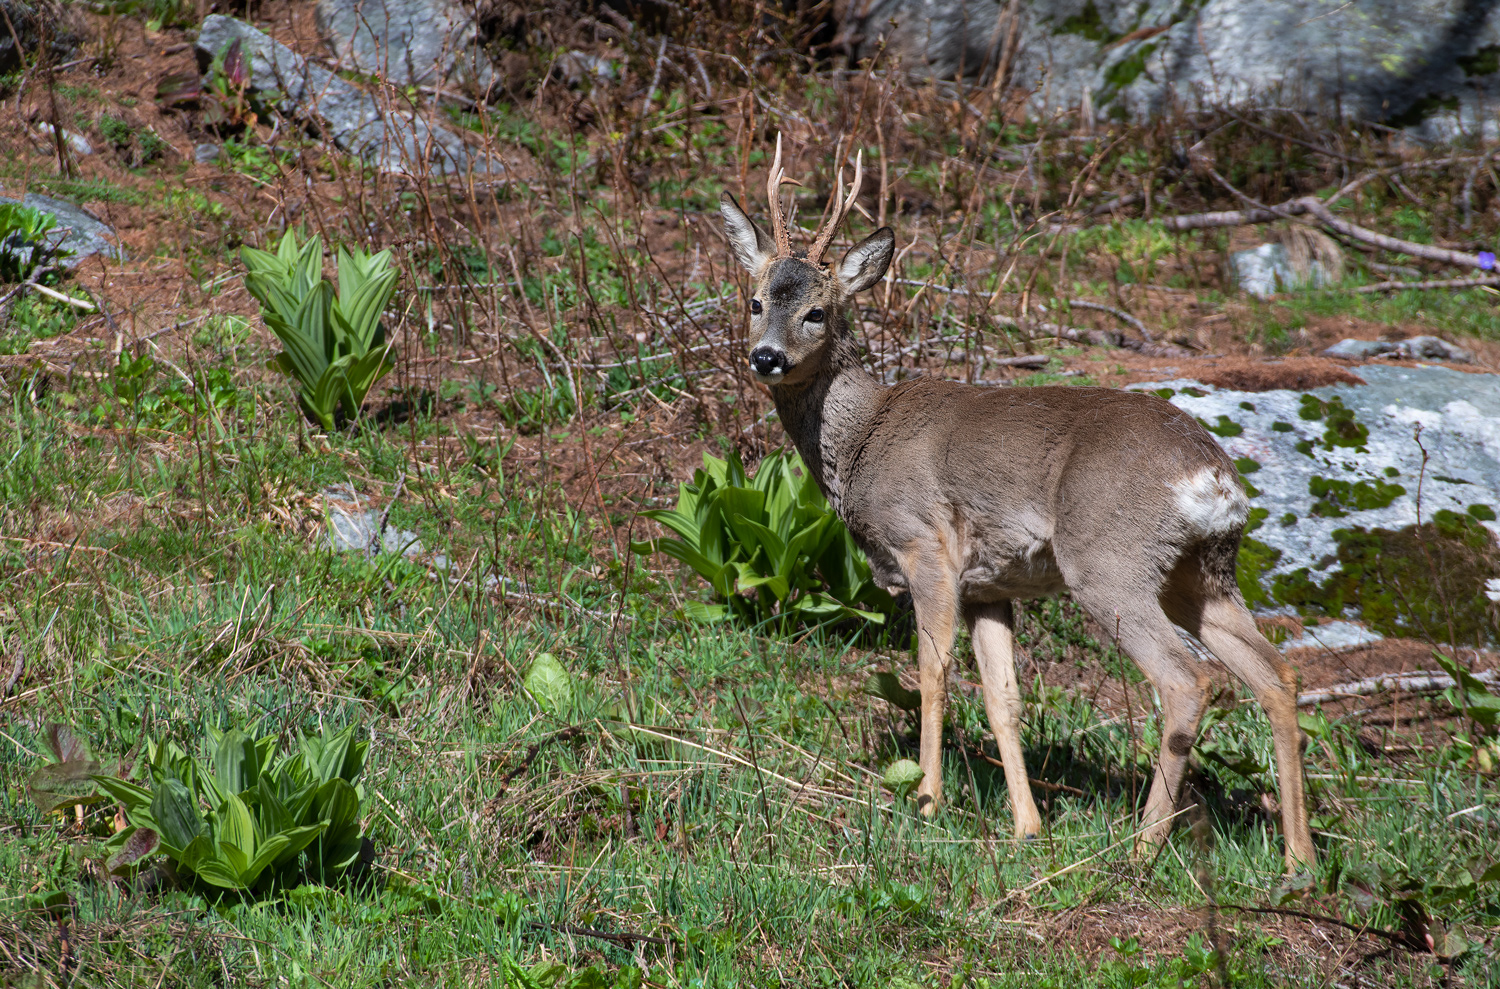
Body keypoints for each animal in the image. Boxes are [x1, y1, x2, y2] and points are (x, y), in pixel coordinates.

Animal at [717, 136, 1316, 871]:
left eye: (817, 312)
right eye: (754, 301)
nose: (766, 357)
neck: (861, 441)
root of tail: (1214, 479)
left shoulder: (926, 546)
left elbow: (933, 672)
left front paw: (926, 801)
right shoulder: (990, 585)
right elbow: (1005, 698)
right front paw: (1027, 826)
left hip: (1110, 562)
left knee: (1186, 682)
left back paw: (1142, 848)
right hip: (1200, 572)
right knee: (1276, 674)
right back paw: (1299, 858)